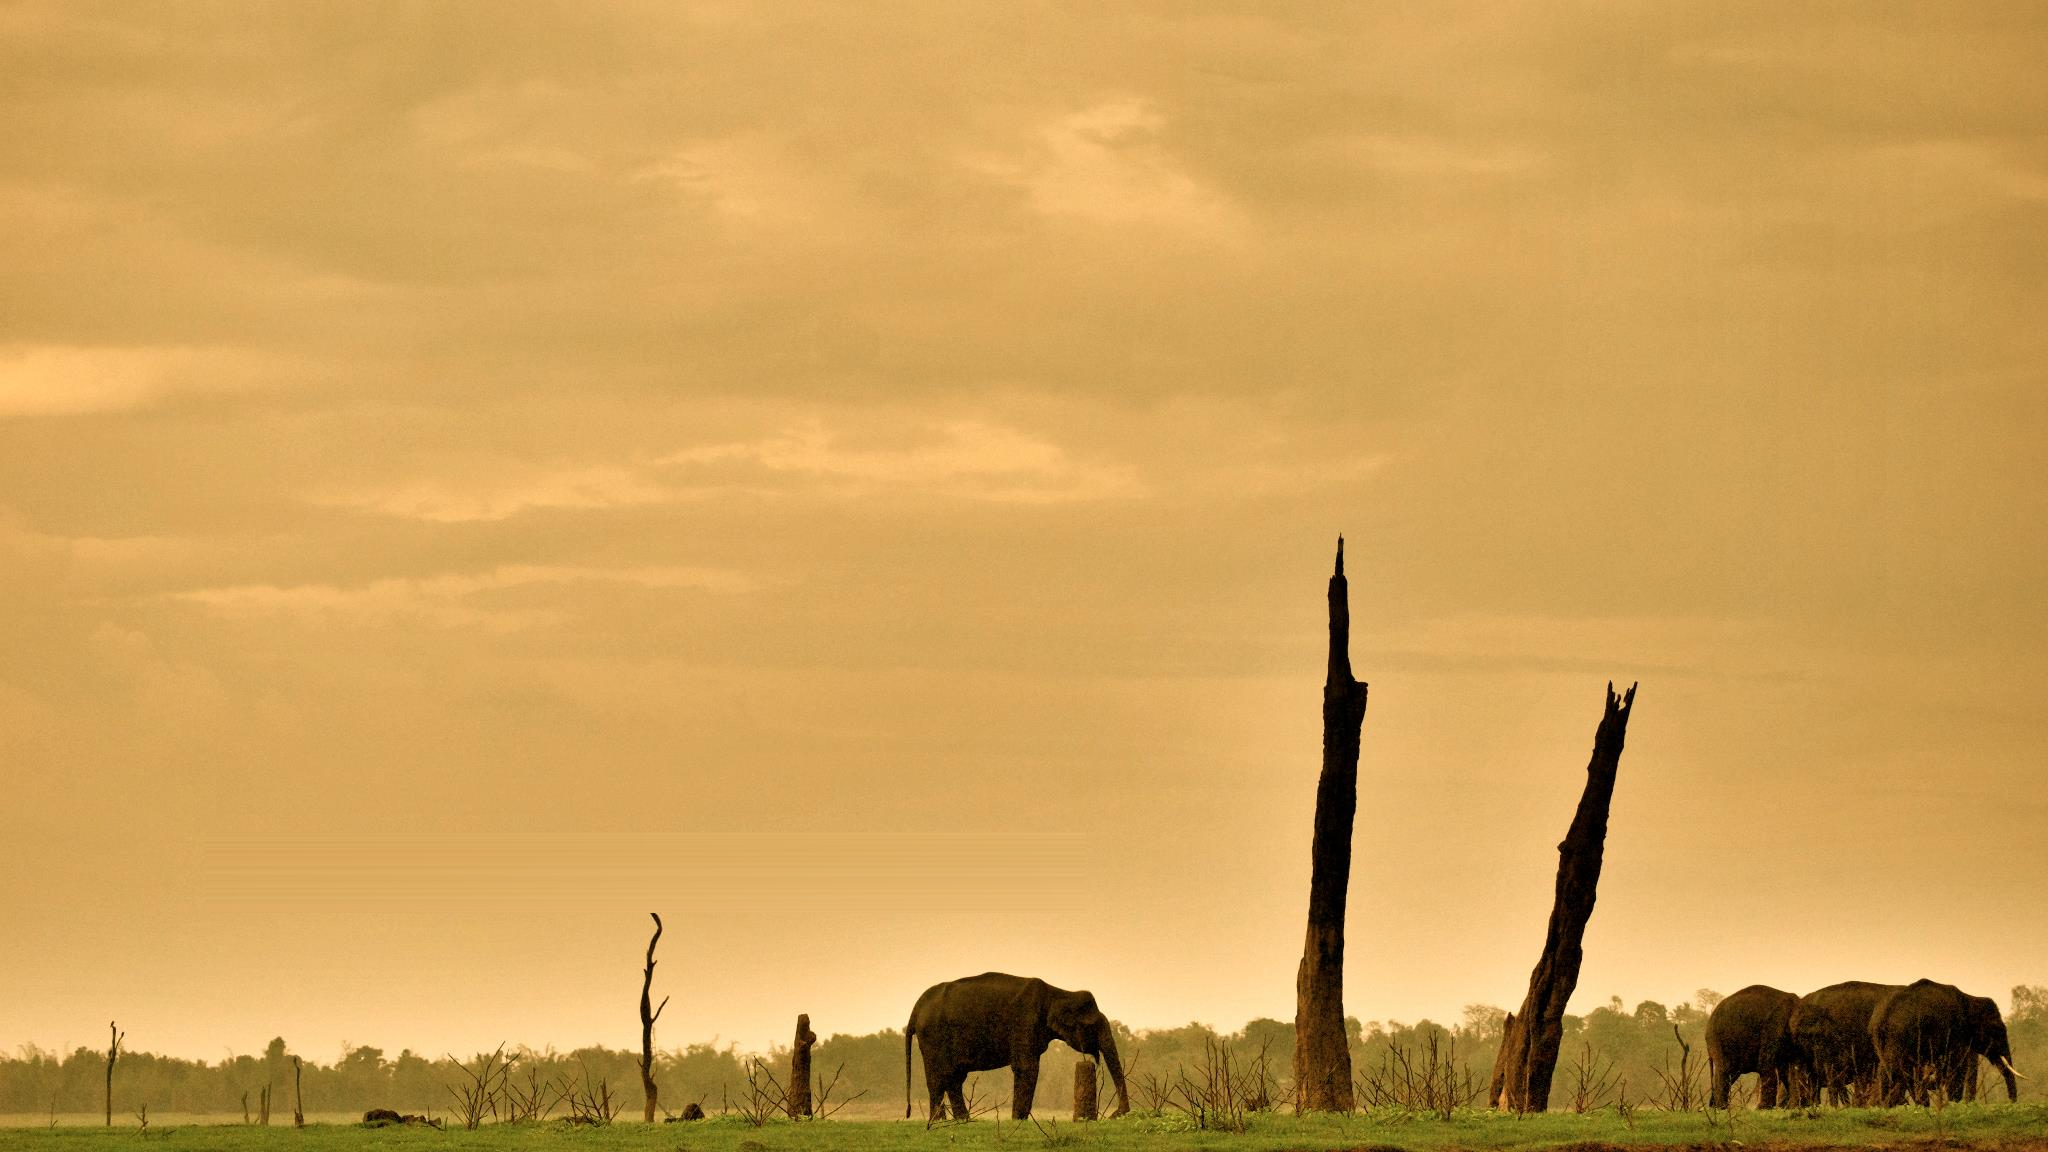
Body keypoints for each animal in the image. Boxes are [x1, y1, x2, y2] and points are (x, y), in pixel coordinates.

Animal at [905, 972, 1130, 1121]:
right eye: (1093, 1026)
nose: (1115, 1114)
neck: (1058, 992)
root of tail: (917, 1006)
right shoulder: (1025, 1022)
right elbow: (1027, 1067)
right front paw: (1019, 1121)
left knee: (954, 1077)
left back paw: (963, 1121)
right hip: (933, 1037)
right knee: (939, 1077)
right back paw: (940, 1122)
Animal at [1870, 979, 2023, 1105]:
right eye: (1998, 1030)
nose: (2012, 1103)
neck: (1970, 998)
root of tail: (1880, 1018)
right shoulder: (1956, 1032)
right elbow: (1956, 1064)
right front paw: (1955, 1103)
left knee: (1890, 1070)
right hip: (1899, 1037)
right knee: (1901, 1068)